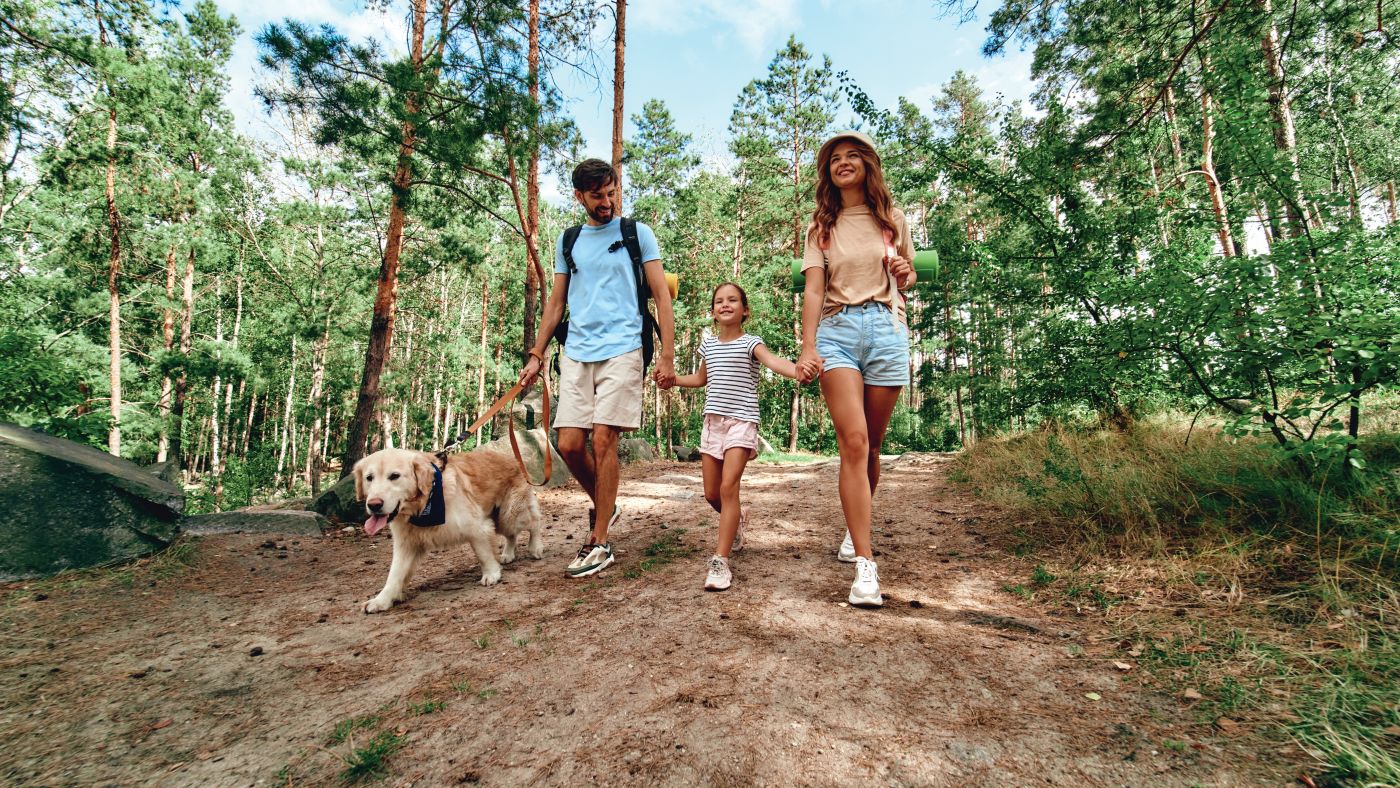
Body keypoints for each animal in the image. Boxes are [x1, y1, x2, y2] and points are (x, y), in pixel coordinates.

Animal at [352, 447, 543, 613]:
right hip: (501, 520)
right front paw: (381, 600)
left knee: (534, 522)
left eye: (394, 476)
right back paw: (508, 554)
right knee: (512, 535)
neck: (424, 505)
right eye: (369, 477)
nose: (374, 505)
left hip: (510, 514)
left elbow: (483, 554)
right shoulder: (406, 544)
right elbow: (394, 574)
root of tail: (512, 458)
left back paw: (535, 548)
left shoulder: (476, 526)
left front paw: (491, 574)